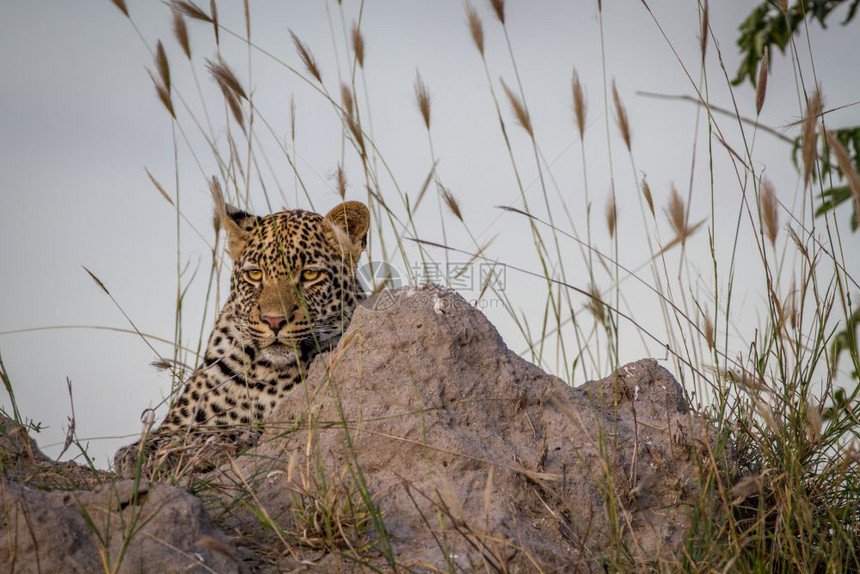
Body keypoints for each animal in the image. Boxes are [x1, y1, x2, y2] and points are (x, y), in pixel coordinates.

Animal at [114, 190, 370, 482]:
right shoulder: (181, 418)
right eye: (255, 274)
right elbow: (162, 435)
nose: (274, 320)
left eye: (310, 274)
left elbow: (239, 431)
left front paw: (200, 446)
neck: (261, 369)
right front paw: (138, 453)